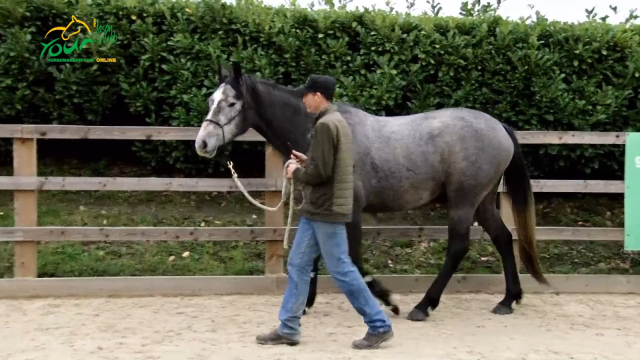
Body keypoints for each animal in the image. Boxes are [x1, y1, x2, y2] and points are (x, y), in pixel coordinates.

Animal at [195, 63, 552, 322]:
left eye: (231, 102)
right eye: (211, 100)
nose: (203, 144)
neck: (320, 130)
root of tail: (499, 127)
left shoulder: (351, 210)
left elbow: (350, 257)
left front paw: (386, 300)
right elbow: (313, 254)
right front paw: (305, 303)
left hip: (464, 202)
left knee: (458, 247)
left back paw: (423, 306)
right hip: (482, 202)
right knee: (503, 238)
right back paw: (508, 299)